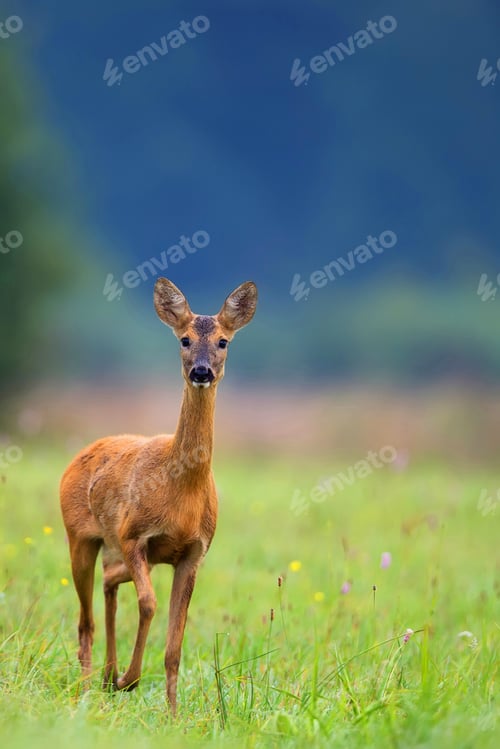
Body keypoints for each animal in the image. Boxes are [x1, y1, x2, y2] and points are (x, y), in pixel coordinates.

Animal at [60, 277, 258, 715]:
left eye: (223, 341)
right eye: (184, 339)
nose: (201, 371)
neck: (180, 495)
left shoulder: (193, 552)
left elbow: (174, 645)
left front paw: (172, 713)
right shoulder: (135, 536)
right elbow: (149, 604)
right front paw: (129, 681)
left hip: (117, 550)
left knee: (108, 582)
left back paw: (105, 676)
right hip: (80, 536)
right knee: (85, 620)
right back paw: (89, 687)